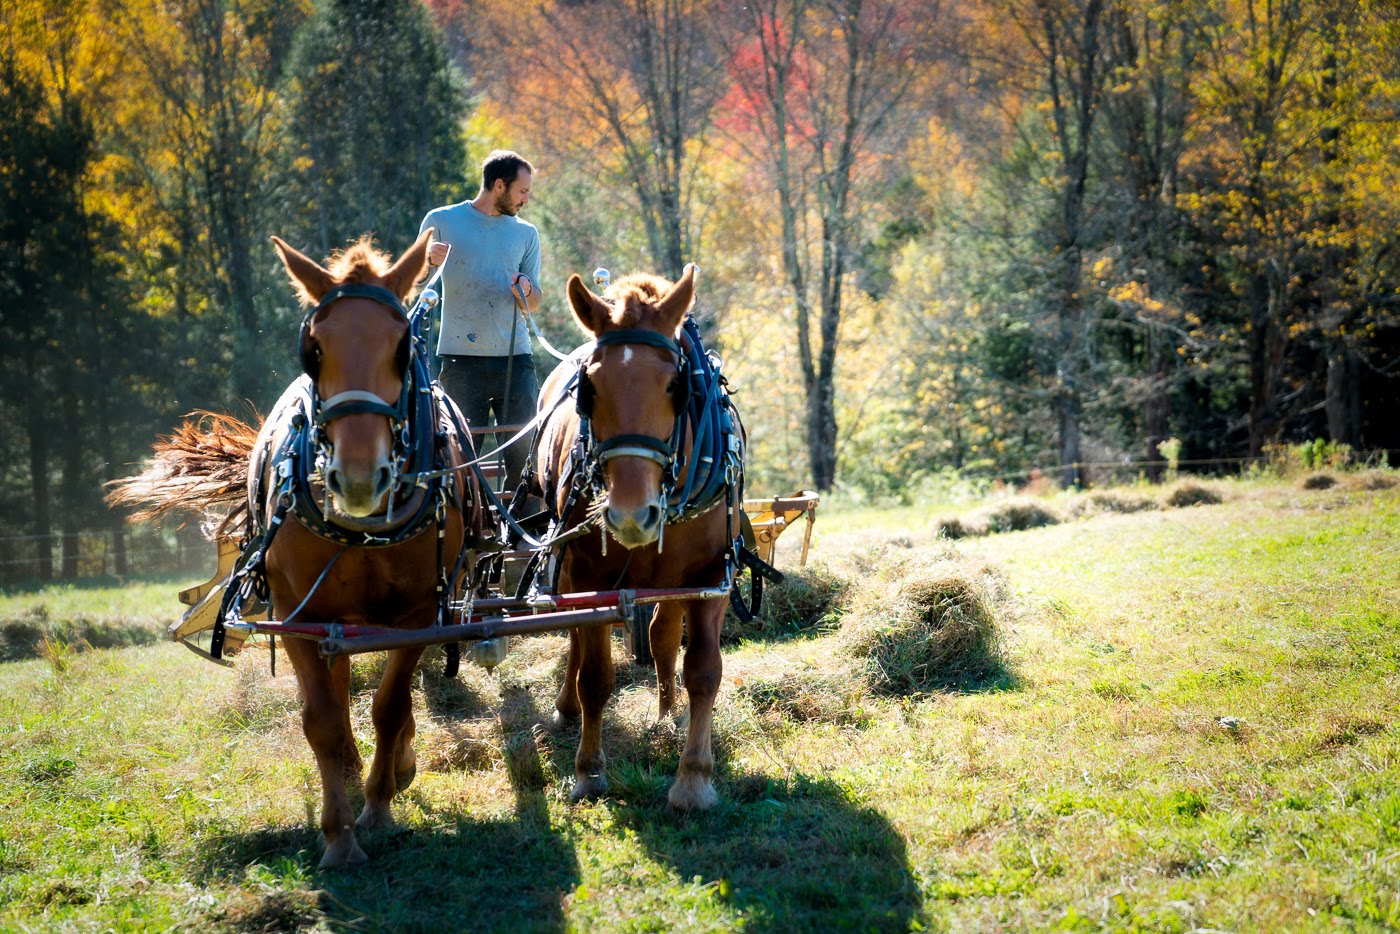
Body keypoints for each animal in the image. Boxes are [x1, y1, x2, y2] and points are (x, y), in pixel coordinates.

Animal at [113, 231, 485, 867]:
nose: (358, 478)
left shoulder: (417, 613)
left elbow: (391, 706)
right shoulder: (296, 613)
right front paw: (339, 835)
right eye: (314, 350)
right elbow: (322, 720)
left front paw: (378, 808)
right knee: (337, 689)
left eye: (402, 347)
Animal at [529, 264, 743, 812]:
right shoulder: (588, 573)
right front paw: (589, 770)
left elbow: (703, 670)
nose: (629, 515)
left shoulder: (711, 576)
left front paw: (693, 778)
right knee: (577, 638)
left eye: (674, 386)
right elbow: (595, 676)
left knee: (663, 637)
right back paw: (565, 707)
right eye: (590, 389)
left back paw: (667, 714)